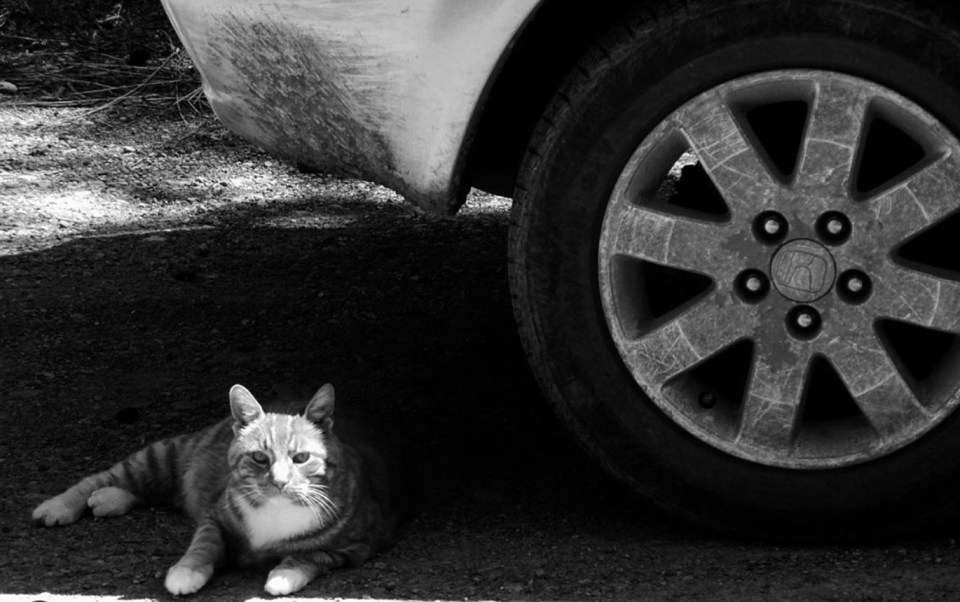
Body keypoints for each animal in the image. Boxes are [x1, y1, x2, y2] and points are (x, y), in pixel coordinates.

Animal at [32, 382, 402, 592]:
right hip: (166, 454)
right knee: (113, 477)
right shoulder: (215, 517)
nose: (279, 482)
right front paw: (186, 573)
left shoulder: (361, 545)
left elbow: (310, 555)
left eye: (301, 458)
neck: (278, 512)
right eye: (259, 457)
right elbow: (204, 545)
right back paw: (62, 504)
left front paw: (283, 576)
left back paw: (110, 500)